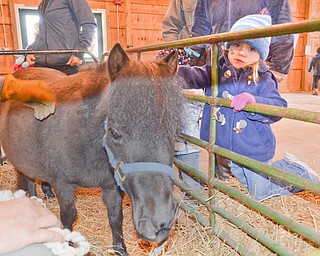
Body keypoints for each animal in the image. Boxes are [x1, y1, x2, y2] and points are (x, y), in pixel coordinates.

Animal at [0, 44, 186, 256]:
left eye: (175, 132)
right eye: (114, 132)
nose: (160, 223)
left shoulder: (111, 186)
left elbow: (115, 217)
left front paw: (120, 249)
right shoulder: (63, 184)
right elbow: (68, 216)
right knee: (29, 184)